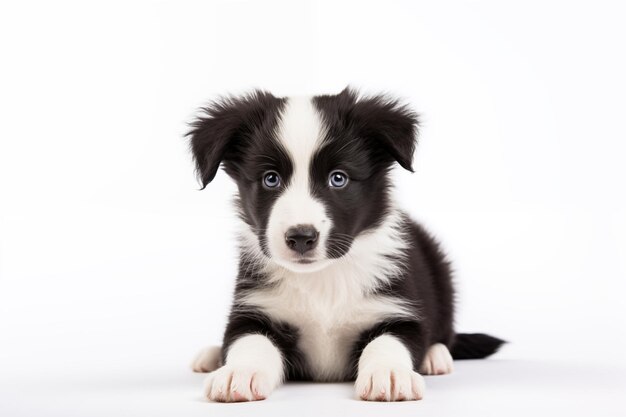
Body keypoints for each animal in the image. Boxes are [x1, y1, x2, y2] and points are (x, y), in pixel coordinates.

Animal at [186, 88, 502, 404]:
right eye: (270, 179)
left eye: (338, 178)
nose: (301, 237)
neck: (322, 279)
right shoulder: (252, 308)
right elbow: (248, 340)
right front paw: (238, 372)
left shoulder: (398, 307)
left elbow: (388, 341)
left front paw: (389, 373)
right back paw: (211, 356)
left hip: (441, 273)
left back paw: (436, 356)